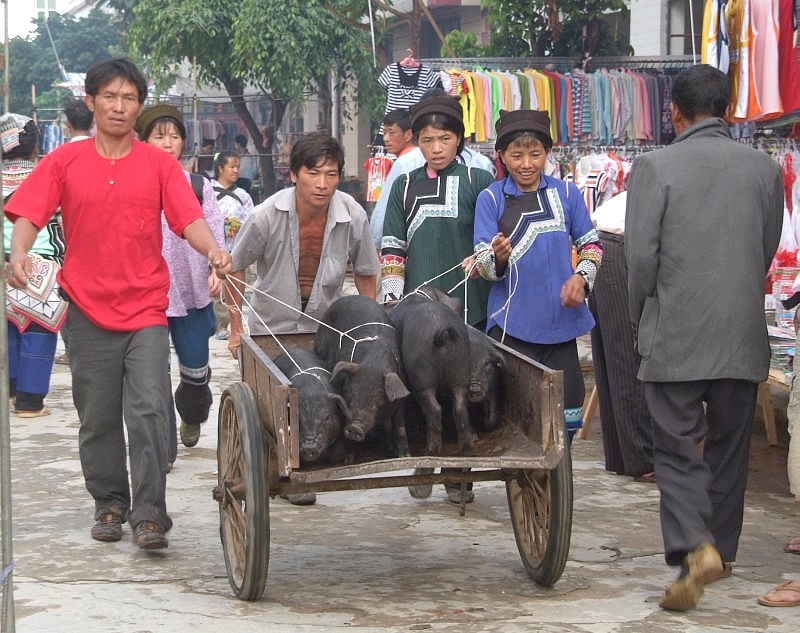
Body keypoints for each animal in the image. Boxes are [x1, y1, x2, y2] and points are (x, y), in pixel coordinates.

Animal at [312, 294, 410, 452]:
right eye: (349, 394)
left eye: (380, 400)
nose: (355, 427)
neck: (374, 362)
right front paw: (348, 456)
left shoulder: (401, 389)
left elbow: (399, 424)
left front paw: (404, 454)